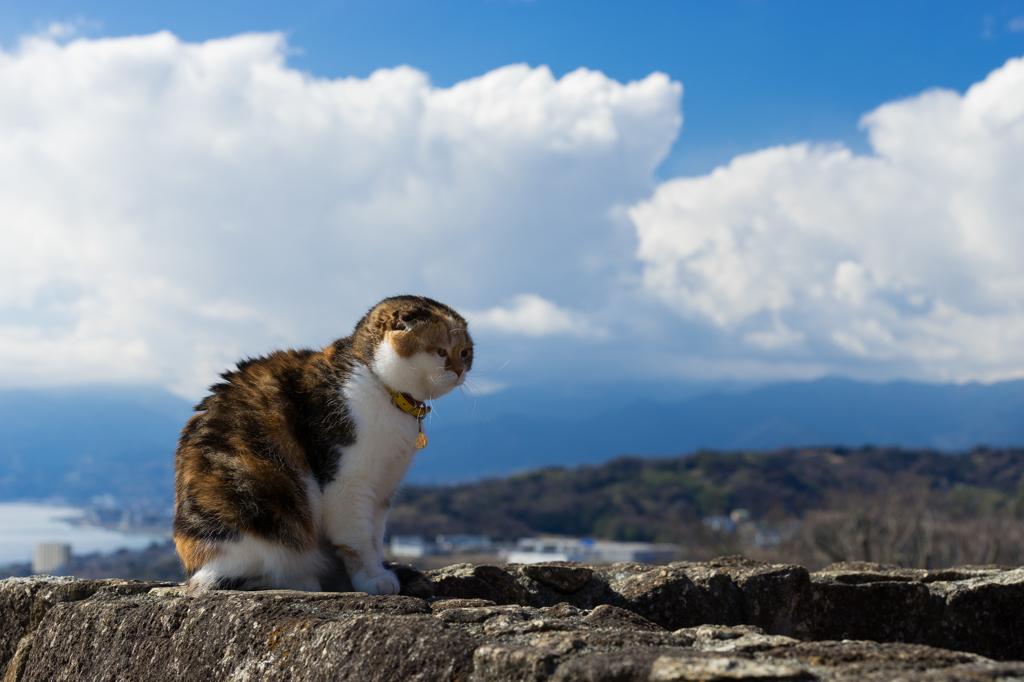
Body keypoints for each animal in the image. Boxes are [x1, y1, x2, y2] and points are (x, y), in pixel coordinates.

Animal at [172, 294, 471, 593]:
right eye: (441, 351)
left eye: (465, 353)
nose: (459, 371)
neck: (380, 385)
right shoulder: (347, 482)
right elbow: (358, 541)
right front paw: (372, 578)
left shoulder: (383, 487)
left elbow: (374, 537)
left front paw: (379, 570)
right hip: (251, 502)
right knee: (232, 577)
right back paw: (302, 580)